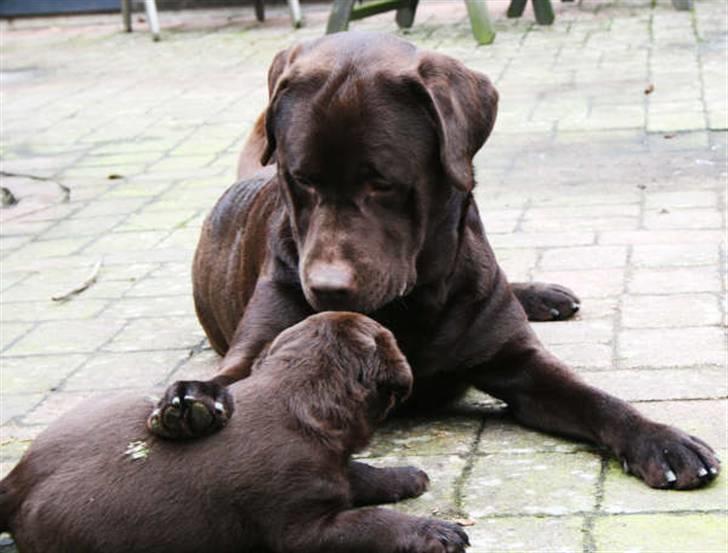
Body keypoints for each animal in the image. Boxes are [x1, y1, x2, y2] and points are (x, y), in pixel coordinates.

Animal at [0, 312, 470, 548]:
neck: (299, 396)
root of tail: (15, 483)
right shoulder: (305, 528)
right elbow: (372, 521)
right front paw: (434, 531)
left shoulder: (330, 468)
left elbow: (360, 473)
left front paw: (406, 476)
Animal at [146, 31, 716, 488]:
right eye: (301, 178)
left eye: (382, 182)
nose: (326, 288)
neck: (407, 307)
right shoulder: (264, 340)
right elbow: (234, 376)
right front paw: (192, 398)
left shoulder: (519, 361)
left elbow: (593, 396)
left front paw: (662, 439)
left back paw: (541, 295)